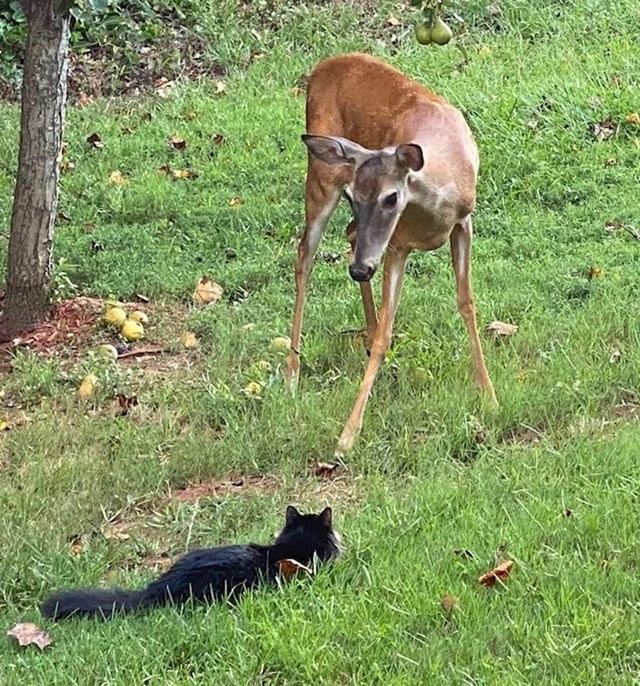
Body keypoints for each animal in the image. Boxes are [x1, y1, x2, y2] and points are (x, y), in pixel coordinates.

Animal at [284, 53, 500, 456]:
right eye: (354, 195)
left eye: (391, 197)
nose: (358, 271)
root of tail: (322, 66)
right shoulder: (397, 244)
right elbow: (388, 327)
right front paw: (347, 437)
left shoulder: (463, 223)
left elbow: (466, 302)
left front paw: (489, 395)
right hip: (321, 177)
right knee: (305, 254)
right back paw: (292, 373)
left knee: (350, 235)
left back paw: (364, 333)